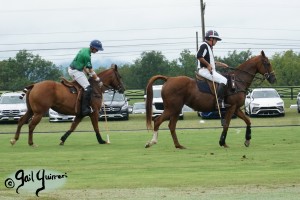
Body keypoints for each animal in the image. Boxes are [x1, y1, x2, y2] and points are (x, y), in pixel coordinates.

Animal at [145, 50, 276, 149]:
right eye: (267, 63)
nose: (273, 79)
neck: (238, 81)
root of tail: (169, 79)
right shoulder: (232, 107)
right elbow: (226, 124)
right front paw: (222, 142)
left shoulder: (236, 108)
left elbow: (248, 121)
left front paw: (247, 140)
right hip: (172, 108)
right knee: (158, 120)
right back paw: (152, 142)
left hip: (176, 109)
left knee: (171, 125)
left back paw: (178, 145)